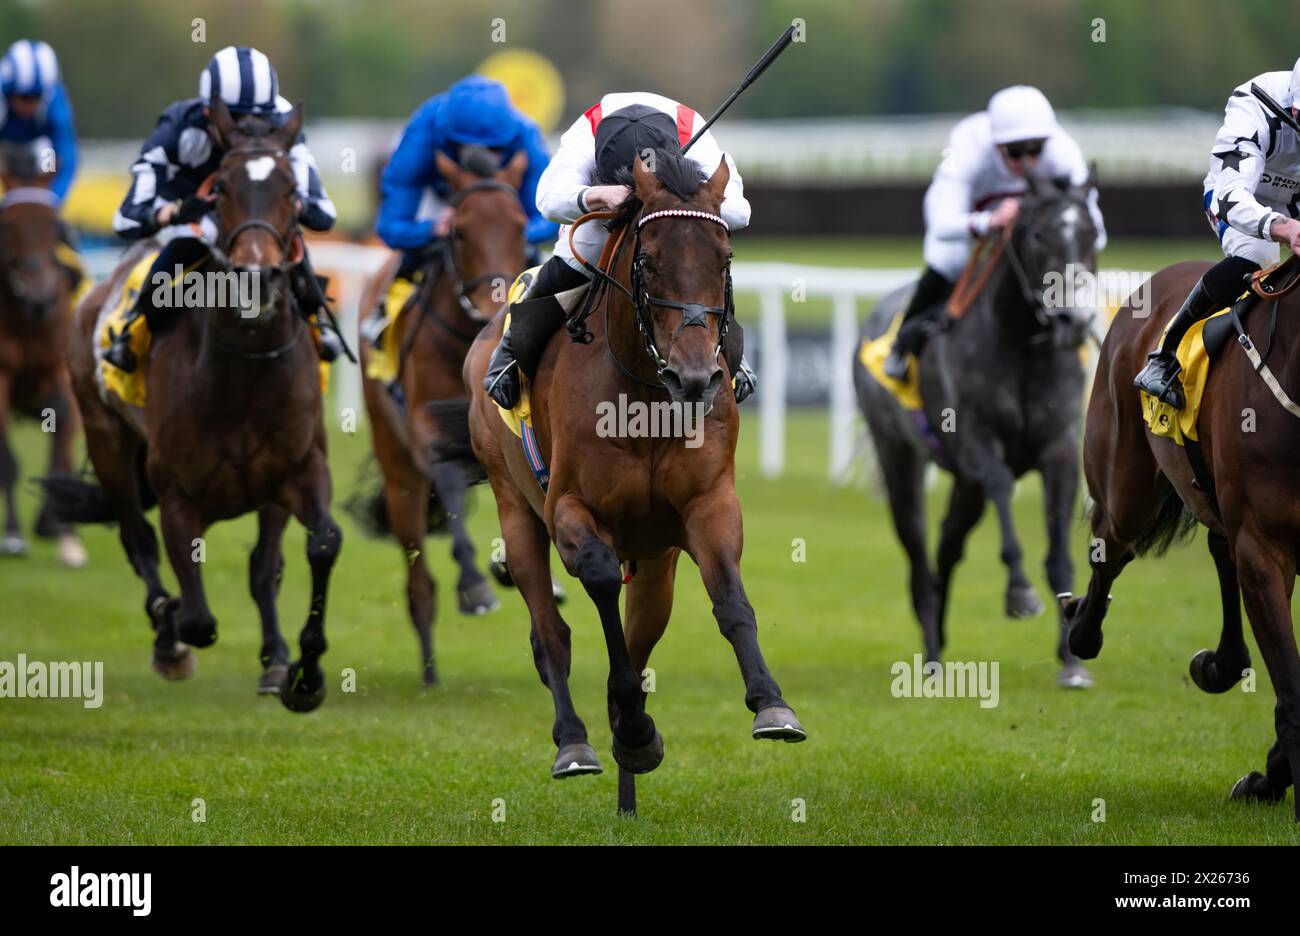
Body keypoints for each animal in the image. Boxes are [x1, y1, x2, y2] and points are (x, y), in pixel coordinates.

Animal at [55, 100, 340, 707]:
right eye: (222, 189)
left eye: (291, 189)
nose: (256, 276)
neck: (244, 369)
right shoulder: (177, 493)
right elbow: (197, 616)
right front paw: (174, 633)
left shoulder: (297, 469)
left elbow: (313, 548)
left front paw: (300, 672)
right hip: (107, 439)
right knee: (136, 539)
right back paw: (167, 641)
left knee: (261, 565)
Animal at [358, 148, 525, 686]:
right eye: (460, 232)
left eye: (520, 224)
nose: (495, 308)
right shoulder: (425, 430)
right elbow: (450, 486)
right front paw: (474, 585)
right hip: (396, 468)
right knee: (418, 581)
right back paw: (430, 671)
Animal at [439, 150, 800, 816]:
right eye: (649, 259)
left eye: (724, 258)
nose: (694, 377)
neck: (646, 399)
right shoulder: (569, 509)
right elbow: (600, 582)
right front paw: (630, 726)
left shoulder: (708, 504)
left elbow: (730, 599)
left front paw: (770, 703)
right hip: (514, 507)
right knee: (549, 633)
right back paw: (577, 741)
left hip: (656, 562)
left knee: (640, 635)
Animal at [1066, 260, 1300, 816]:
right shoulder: (1265, 548)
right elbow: (1291, 688)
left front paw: (1269, 775)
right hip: (1126, 485)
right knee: (1111, 547)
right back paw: (1081, 626)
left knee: (1218, 545)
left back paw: (1221, 665)